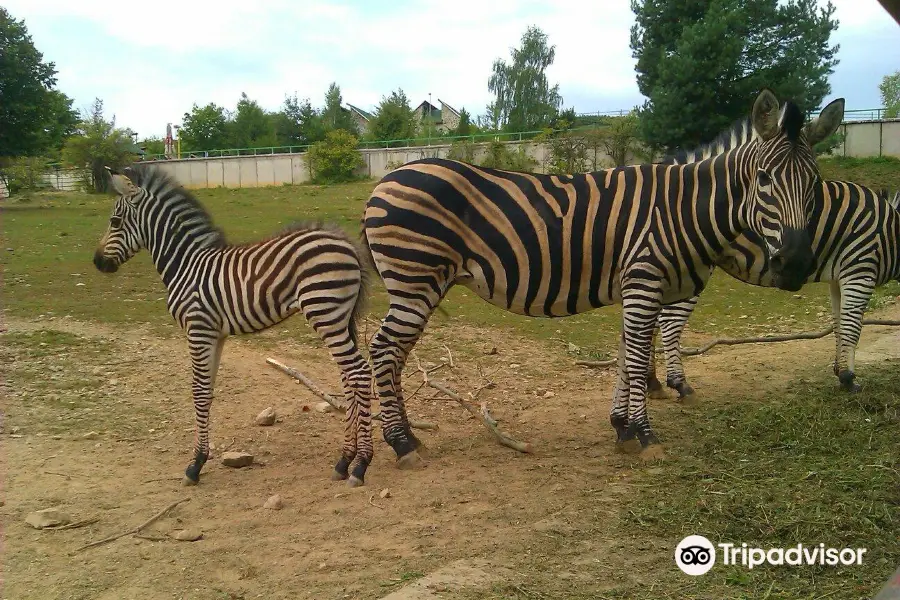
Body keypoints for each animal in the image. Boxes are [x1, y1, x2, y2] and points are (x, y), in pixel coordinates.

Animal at [91, 166, 372, 486]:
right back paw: (344, 459)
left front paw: (195, 465)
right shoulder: (216, 334)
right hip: (340, 319)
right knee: (348, 378)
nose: (97, 262)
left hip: (325, 312)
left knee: (360, 373)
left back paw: (361, 464)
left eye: (114, 221)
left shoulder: (198, 328)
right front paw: (201, 458)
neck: (185, 263)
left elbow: (198, 391)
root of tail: (347, 243)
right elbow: (207, 392)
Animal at [358, 88, 844, 468]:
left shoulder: (639, 287)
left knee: (395, 354)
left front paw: (622, 428)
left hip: (420, 286)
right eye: (763, 179)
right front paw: (645, 435)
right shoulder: (645, 282)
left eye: (814, 183)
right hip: (415, 281)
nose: (795, 264)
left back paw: (409, 437)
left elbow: (628, 353)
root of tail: (385, 181)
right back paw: (401, 445)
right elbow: (636, 358)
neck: (682, 210)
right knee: (382, 350)